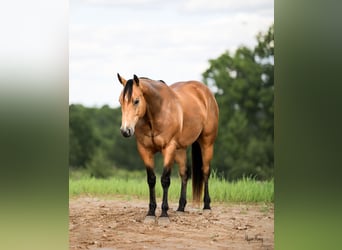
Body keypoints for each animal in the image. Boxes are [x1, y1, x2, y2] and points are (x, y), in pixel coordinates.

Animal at [117, 73, 219, 220]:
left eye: (136, 101)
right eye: (120, 101)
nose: (125, 131)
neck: (156, 113)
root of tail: (205, 92)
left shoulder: (169, 149)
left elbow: (165, 180)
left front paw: (164, 214)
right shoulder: (145, 150)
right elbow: (151, 180)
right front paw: (151, 212)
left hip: (207, 142)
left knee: (205, 171)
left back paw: (206, 206)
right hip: (180, 149)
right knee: (184, 174)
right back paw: (181, 207)